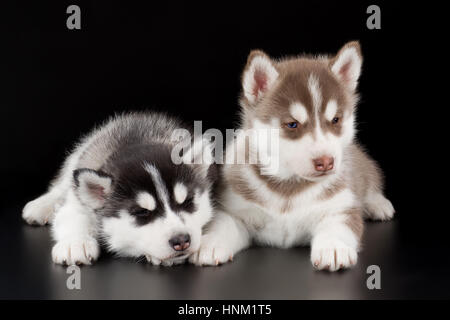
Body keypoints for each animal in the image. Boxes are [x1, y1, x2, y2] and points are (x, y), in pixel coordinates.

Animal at [22, 111, 215, 266]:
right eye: (142, 212)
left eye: (188, 201)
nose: (181, 240)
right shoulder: (77, 201)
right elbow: (71, 216)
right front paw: (75, 243)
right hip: (83, 151)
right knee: (62, 184)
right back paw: (42, 205)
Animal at [192, 41, 396, 272]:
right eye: (292, 124)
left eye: (335, 120)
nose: (326, 162)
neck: (289, 186)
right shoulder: (234, 209)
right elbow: (222, 224)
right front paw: (209, 243)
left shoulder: (340, 206)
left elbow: (339, 226)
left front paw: (334, 247)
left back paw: (378, 204)